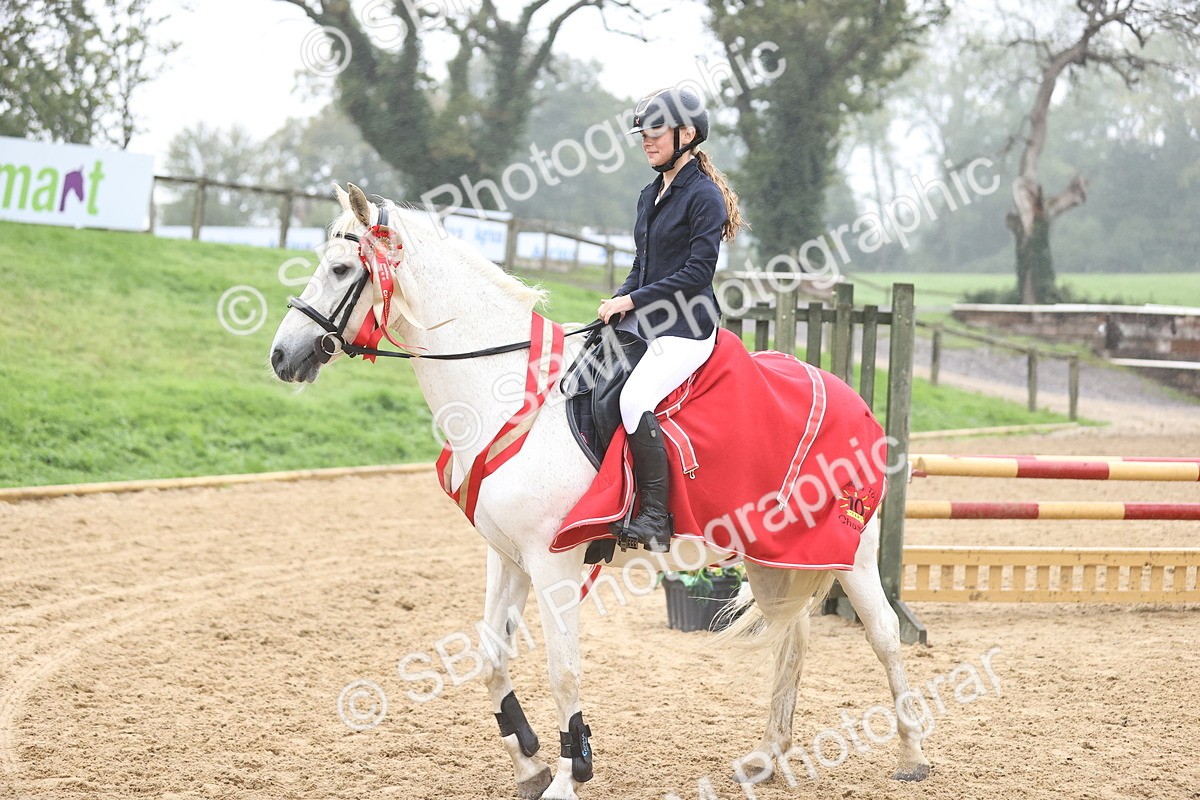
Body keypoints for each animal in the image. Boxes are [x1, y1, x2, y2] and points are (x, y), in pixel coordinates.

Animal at [269, 183, 932, 800]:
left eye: (340, 269)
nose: (281, 356)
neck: (508, 393)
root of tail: (851, 396)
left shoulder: (552, 562)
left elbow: (564, 671)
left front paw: (571, 772)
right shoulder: (507, 556)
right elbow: (491, 658)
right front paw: (531, 762)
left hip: (850, 554)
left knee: (883, 635)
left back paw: (911, 755)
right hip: (776, 558)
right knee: (791, 639)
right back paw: (771, 757)